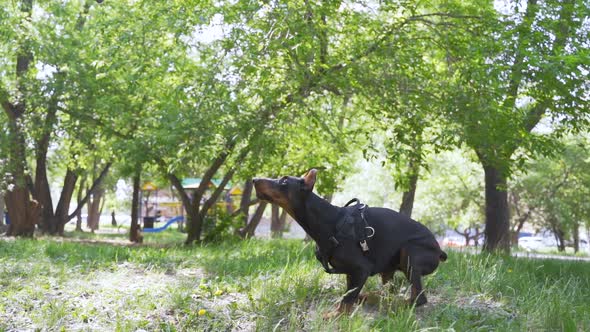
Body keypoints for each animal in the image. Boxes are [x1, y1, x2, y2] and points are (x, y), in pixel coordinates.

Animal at [253, 169, 448, 316]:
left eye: (284, 181)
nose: (254, 179)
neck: (329, 220)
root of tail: (439, 251)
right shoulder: (350, 272)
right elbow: (348, 292)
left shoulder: (361, 268)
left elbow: (347, 299)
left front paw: (335, 315)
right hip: (388, 267)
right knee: (389, 289)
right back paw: (371, 296)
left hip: (410, 252)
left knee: (418, 298)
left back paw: (394, 305)